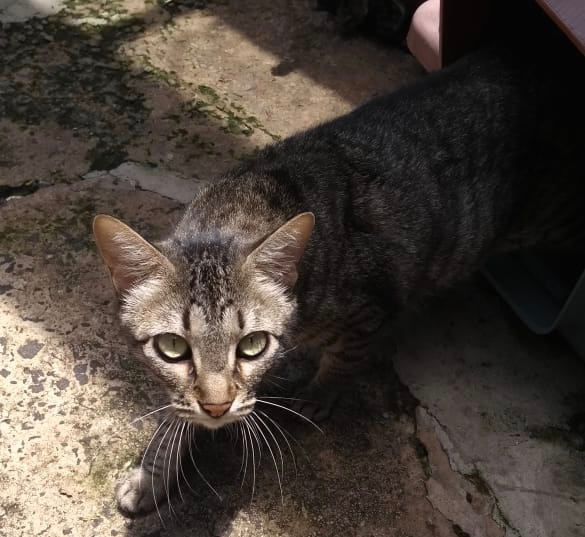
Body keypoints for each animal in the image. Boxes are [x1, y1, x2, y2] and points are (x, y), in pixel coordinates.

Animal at [93, 7, 580, 516]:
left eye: (253, 346)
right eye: (172, 347)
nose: (217, 407)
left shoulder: (369, 310)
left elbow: (344, 357)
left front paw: (318, 394)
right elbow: (175, 413)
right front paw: (153, 471)